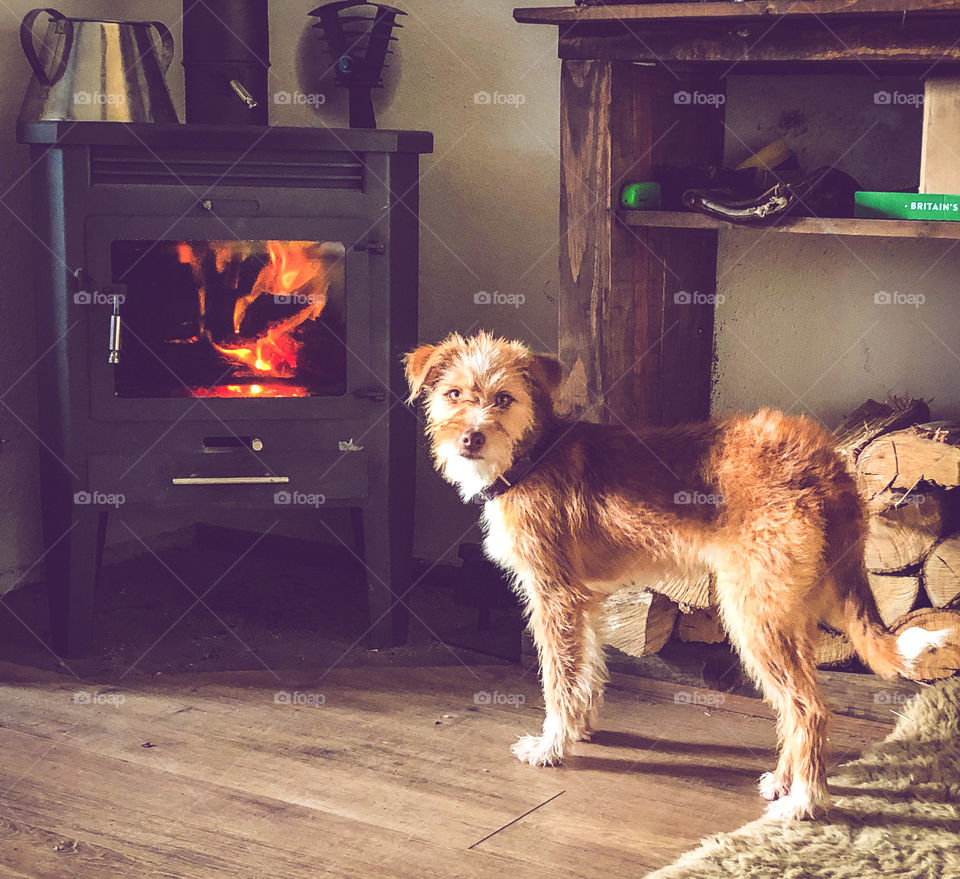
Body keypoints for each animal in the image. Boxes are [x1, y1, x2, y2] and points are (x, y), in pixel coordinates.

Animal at [404, 334, 944, 820]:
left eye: (504, 399)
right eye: (453, 393)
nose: (470, 438)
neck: (530, 456)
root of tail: (824, 459)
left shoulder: (553, 598)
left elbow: (559, 681)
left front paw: (551, 746)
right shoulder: (585, 603)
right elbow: (588, 672)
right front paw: (582, 730)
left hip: (753, 613)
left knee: (807, 707)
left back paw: (804, 802)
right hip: (790, 612)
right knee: (795, 706)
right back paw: (783, 781)